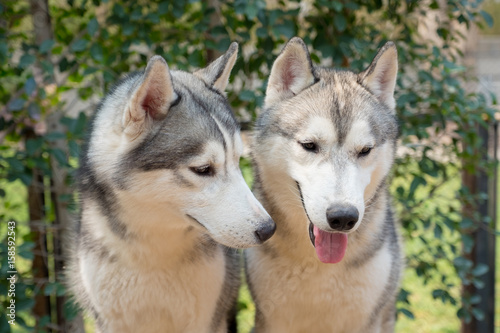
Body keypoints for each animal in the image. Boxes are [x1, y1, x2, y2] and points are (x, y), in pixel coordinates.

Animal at [68, 42, 276, 332]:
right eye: (203, 169)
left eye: (237, 160)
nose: (268, 230)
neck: (154, 254)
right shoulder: (109, 321)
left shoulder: (205, 319)